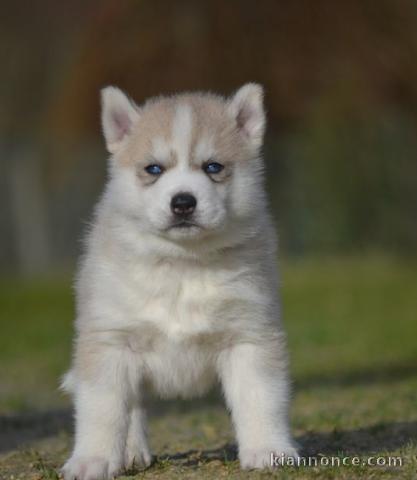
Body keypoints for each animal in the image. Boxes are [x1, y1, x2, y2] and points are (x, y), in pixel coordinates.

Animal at [61, 84, 296, 478]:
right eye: (153, 169)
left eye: (213, 167)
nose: (183, 202)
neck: (184, 265)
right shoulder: (110, 342)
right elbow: (103, 410)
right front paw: (93, 459)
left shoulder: (250, 336)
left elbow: (261, 398)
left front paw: (269, 450)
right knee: (133, 407)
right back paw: (130, 451)